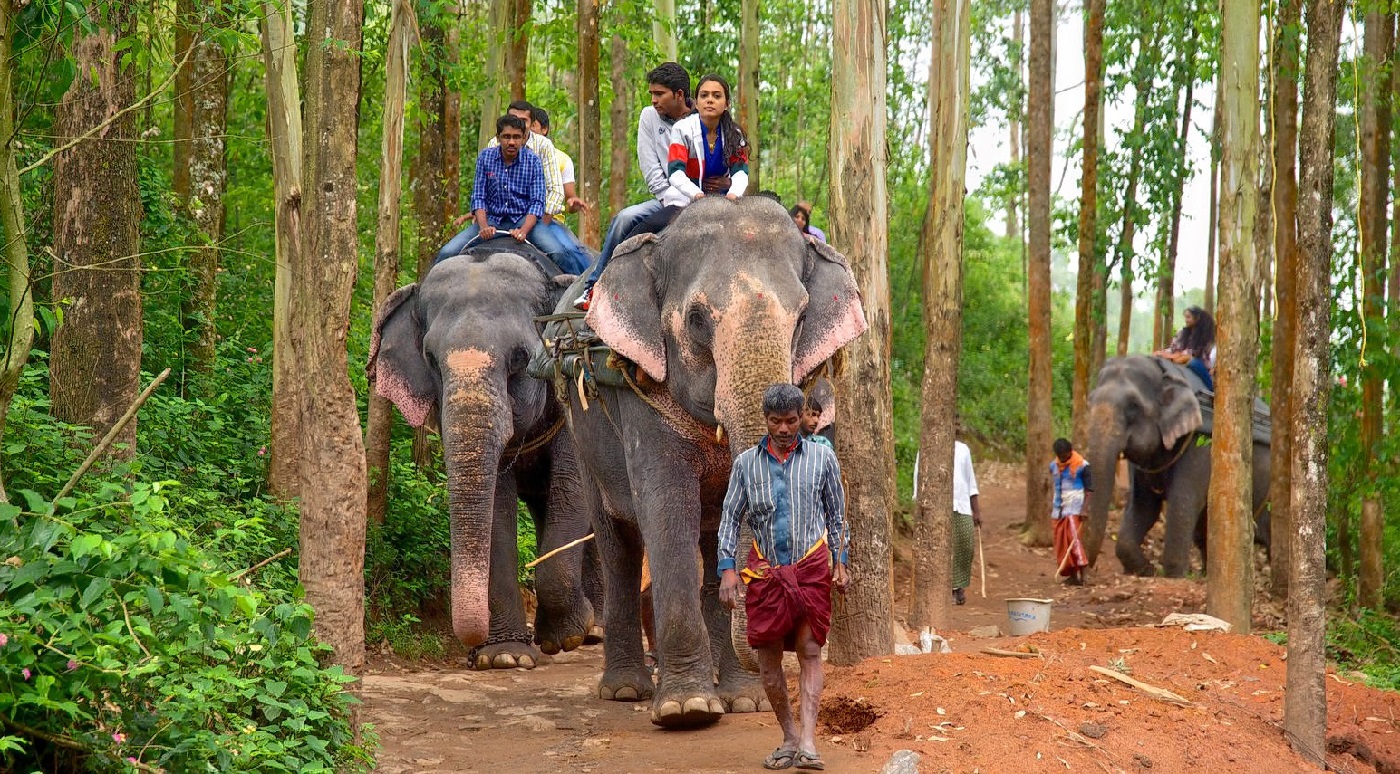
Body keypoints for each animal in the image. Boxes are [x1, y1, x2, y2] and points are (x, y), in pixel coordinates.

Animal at [369, 239, 599, 670]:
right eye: (430, 360)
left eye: (520, 358)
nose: (470, 650)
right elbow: (497, 504)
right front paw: (505, 657)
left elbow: (573, 486)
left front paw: (567, 636)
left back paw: (593, 631)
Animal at [547, 196, 867, 728]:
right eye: (697, 319)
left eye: (802, 316)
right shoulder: (643, 396)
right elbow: (666, 512)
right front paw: (686, 710)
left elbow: (723, 524)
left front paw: (744, 701)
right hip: (583, 433)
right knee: (619, 544)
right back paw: (625, 690)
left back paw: (732, 693)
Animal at [1080, 354, 1271, 578]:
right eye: (1090, 402)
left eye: (1133, 406)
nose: (1087, 571)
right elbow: (1144, 506)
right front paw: (1147, 570)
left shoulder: (1201, 443)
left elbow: (1182, 503)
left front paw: (1173, 576)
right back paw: (1205, 576)